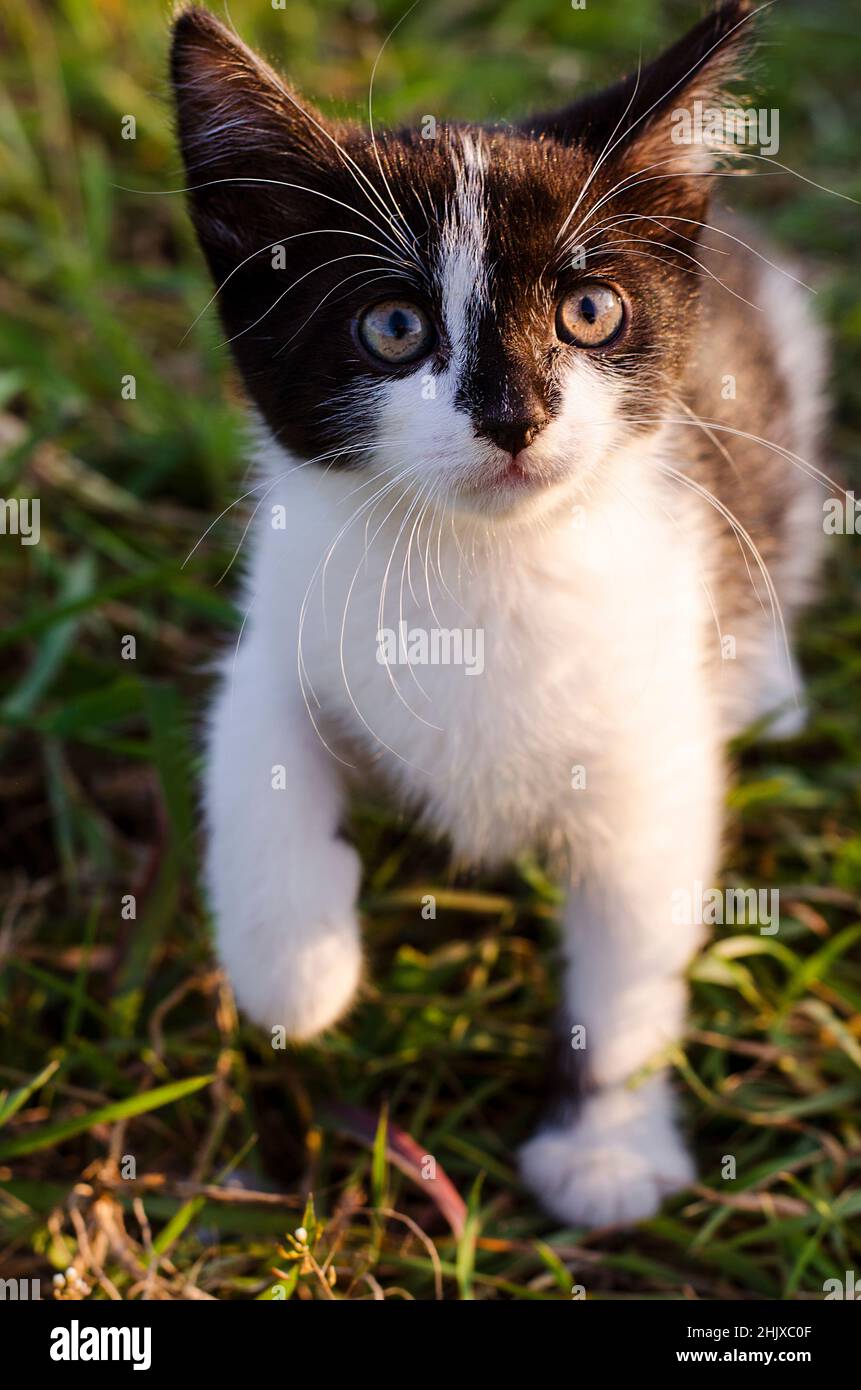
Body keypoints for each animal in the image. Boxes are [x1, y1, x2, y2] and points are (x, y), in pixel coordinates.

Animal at [170, 0, 829, 1223]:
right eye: (392, 327)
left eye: (589, 311)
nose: (514, 414)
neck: (481, 566)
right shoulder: (290, 608)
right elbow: (252, 739)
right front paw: (295, 964)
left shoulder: (648, 745)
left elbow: (632, 949)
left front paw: (606, 1143)